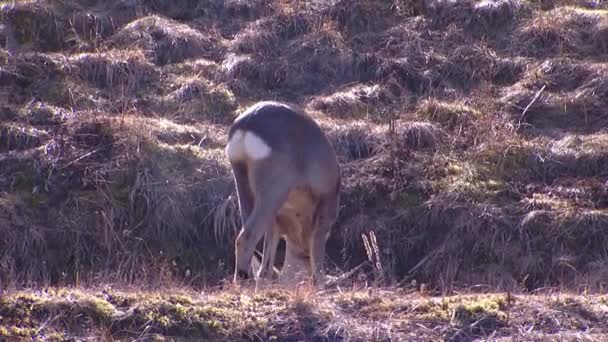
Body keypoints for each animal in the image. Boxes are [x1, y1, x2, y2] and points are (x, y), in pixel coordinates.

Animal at [226, 101, 342, 286]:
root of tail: (247, 123)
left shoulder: (276, 221)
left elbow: (266, 265)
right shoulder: (326, 207)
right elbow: (317, 257)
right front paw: (320, 284)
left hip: (242, 178)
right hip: (274, 186)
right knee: (245, 237)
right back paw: (244, 282)